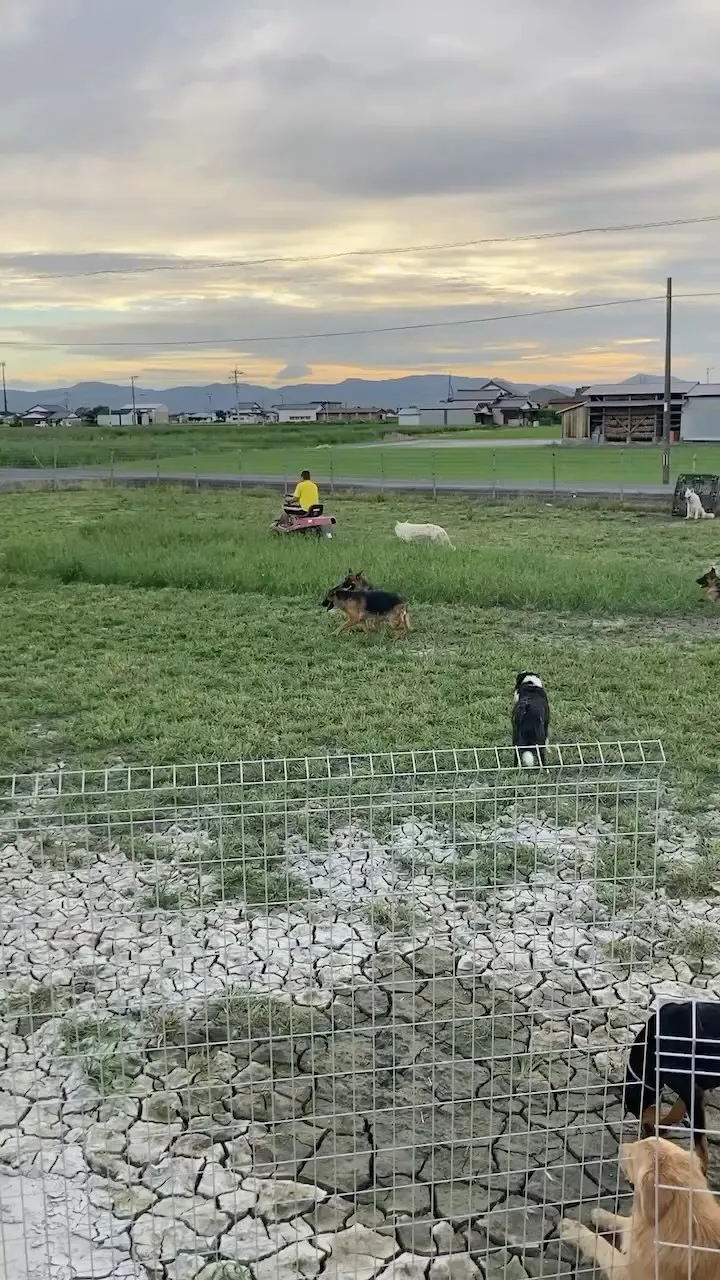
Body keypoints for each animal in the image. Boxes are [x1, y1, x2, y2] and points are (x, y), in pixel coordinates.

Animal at [620, 998, 717, 1172]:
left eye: (636, 1111)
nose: (645, 1131)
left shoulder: (691, 1090)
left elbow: (701, 1144)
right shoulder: (694, 1087)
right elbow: (676, 1110)